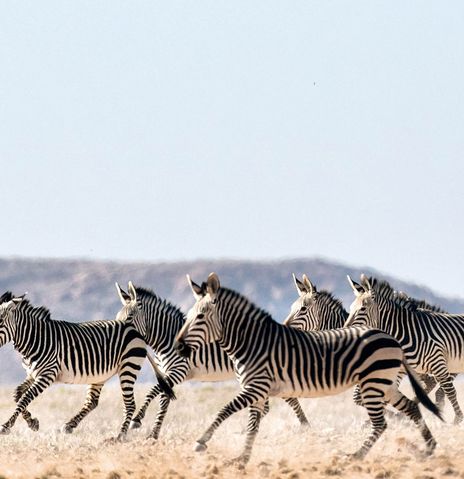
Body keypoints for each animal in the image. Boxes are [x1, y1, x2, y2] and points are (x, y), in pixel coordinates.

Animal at [0, 292, 174, 438]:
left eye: (0, 322)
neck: (35, 339)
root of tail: (135, 330)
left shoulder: (47, 374)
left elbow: (25, 398)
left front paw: (6, 426)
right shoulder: (32, 373)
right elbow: (17, 395)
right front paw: (32, 422)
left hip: (128, 366)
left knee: (130, 404)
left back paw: (120, 437)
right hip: (101, 375)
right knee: (93, 401)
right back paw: (70, 425)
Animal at [113, 284, 308, 440]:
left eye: (129, 317)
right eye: (117, 316)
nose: (118, 337)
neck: (166, 338)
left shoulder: (179, 370)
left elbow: (153, 391)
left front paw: (138, 419)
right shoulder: (167, 373)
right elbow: (163, 400)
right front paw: (154, 434)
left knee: (287, 400)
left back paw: (305, 426)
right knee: (267, 405)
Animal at [173, 274, 438, 464]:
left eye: (200, 316)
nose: (178, 346)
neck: (251, 342)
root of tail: (391, 338)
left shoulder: (256, 387)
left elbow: (224, 409)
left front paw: (201, 442)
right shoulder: (258, 392)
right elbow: (252, 426)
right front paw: (242, 458)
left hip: (374, 384)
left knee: (381, 423)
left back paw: (356, 456)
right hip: (385, 384)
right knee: (412, 407)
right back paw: (429, 448)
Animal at [344, 276, 464, 426]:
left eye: (363, 309)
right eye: (350, 308)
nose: (344, 330)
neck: (408, 332)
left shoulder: (438, 363)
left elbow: (450, 391)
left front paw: (458, 419)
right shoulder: (399, 368)